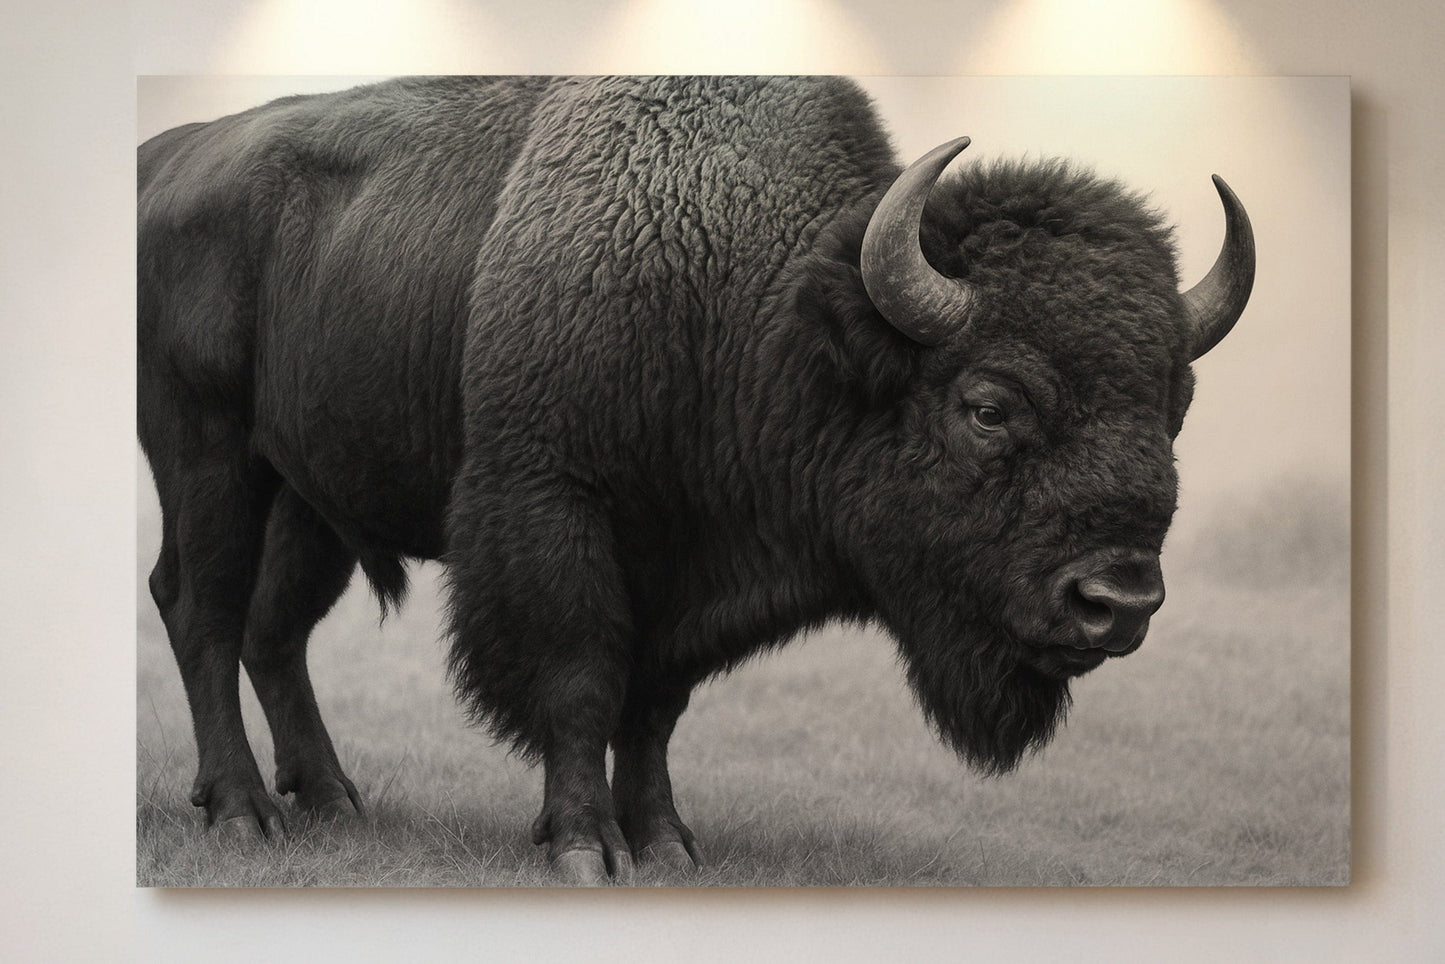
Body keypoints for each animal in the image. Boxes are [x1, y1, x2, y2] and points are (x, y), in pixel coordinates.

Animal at [137, 75, 1254, 884]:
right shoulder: (557, 512)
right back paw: (242, 814)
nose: (1116, 600)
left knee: (273, 630)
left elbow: (652, 705)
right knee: (202, 611)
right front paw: (584, 848)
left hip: (306, 498)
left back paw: (332, 799)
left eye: (1174, 406)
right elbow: (582, 681)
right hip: (207, 457)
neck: (757, 303)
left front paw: (666, 842)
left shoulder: (682, 578)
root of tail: (163, 158)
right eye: (987, 405)